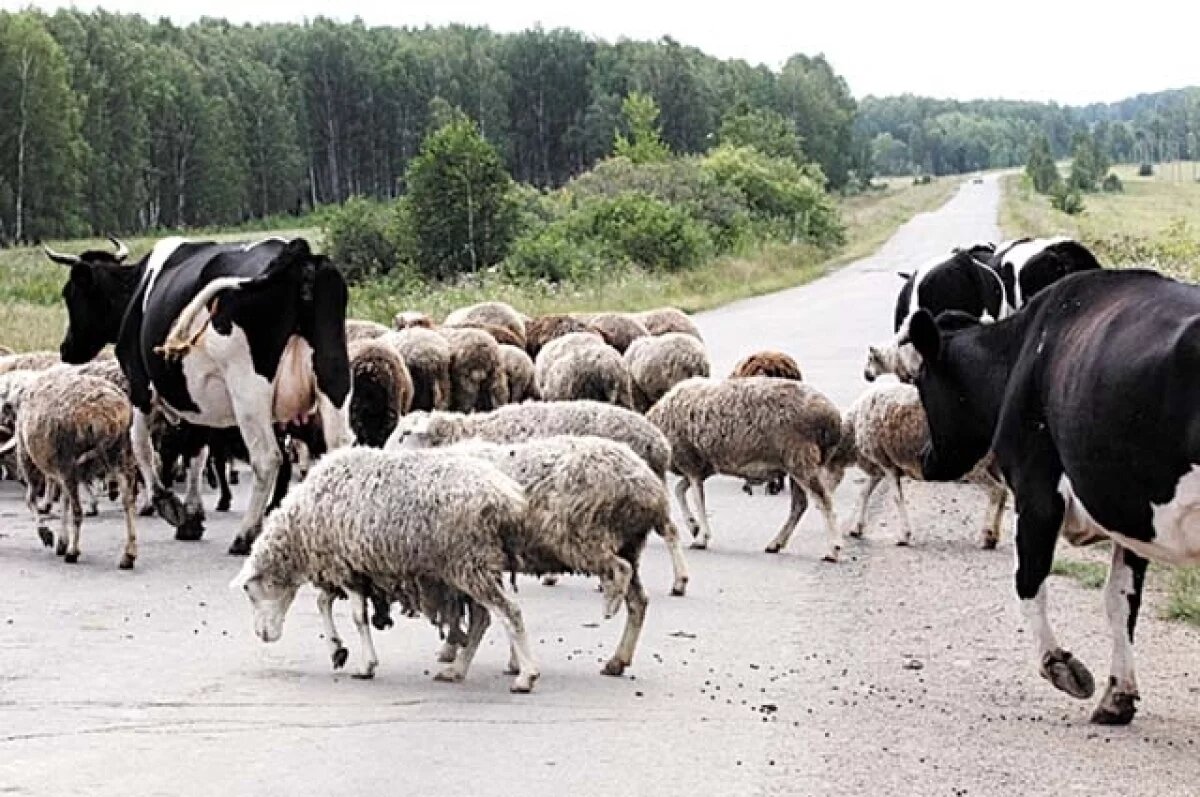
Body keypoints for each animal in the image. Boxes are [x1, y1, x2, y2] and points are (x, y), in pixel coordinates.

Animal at [53, 234, 350, 552]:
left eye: (70, 294)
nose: (66, 349)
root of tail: (297, 251)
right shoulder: (197, 399)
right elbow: (196, 449)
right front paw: (192, 516)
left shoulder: (140, 385)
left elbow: (141, 445)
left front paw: (167, 504)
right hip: (333, 375)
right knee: (339, 447)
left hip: (248, 389)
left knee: (268, 458)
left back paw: (245, 534)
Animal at [648, 379, 844, 559]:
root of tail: (832, 419)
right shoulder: (705, 467)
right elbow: (679, 489)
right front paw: (694, 526)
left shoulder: (690, 460)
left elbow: (697, 499)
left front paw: (701, 537)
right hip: (797, 464)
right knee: (800, 505)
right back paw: (776, 543)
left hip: (801, 458)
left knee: (824, 501)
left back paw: (834, 549)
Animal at [907, 267, 1200, 720]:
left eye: (921, 381)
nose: (924, 458)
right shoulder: (1129, 511)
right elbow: (1120, 601)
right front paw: (1118, 696)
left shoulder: (1036, 492)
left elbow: (1027, 582)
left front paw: (1061, 667)